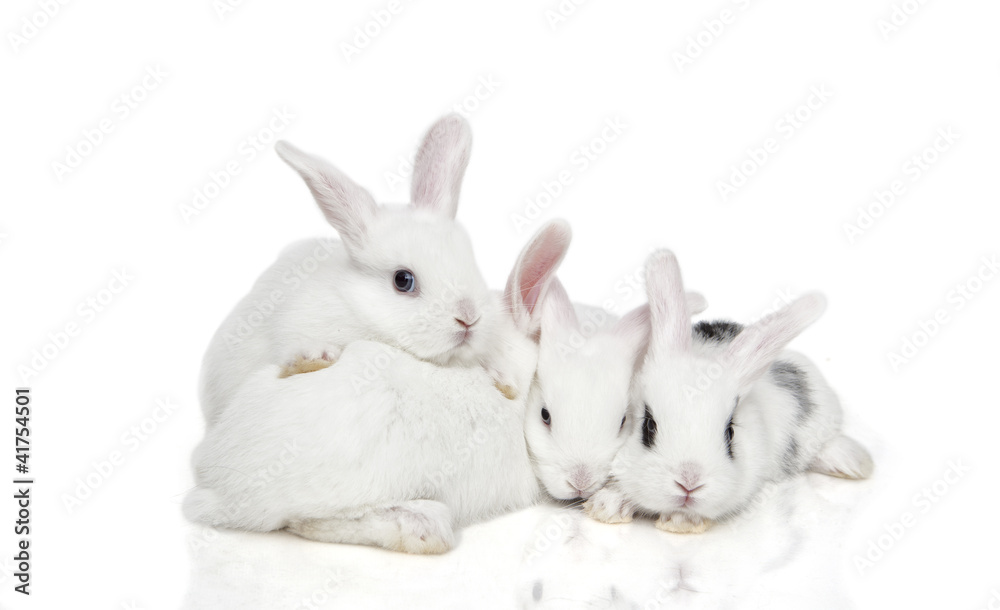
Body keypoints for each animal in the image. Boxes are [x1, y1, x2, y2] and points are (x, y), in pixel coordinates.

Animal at [585, 250, 873, 534]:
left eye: (730, 433)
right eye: (648, 427)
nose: (690, 483)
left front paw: (682, 522)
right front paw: (607, 506)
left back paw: (855, 463)